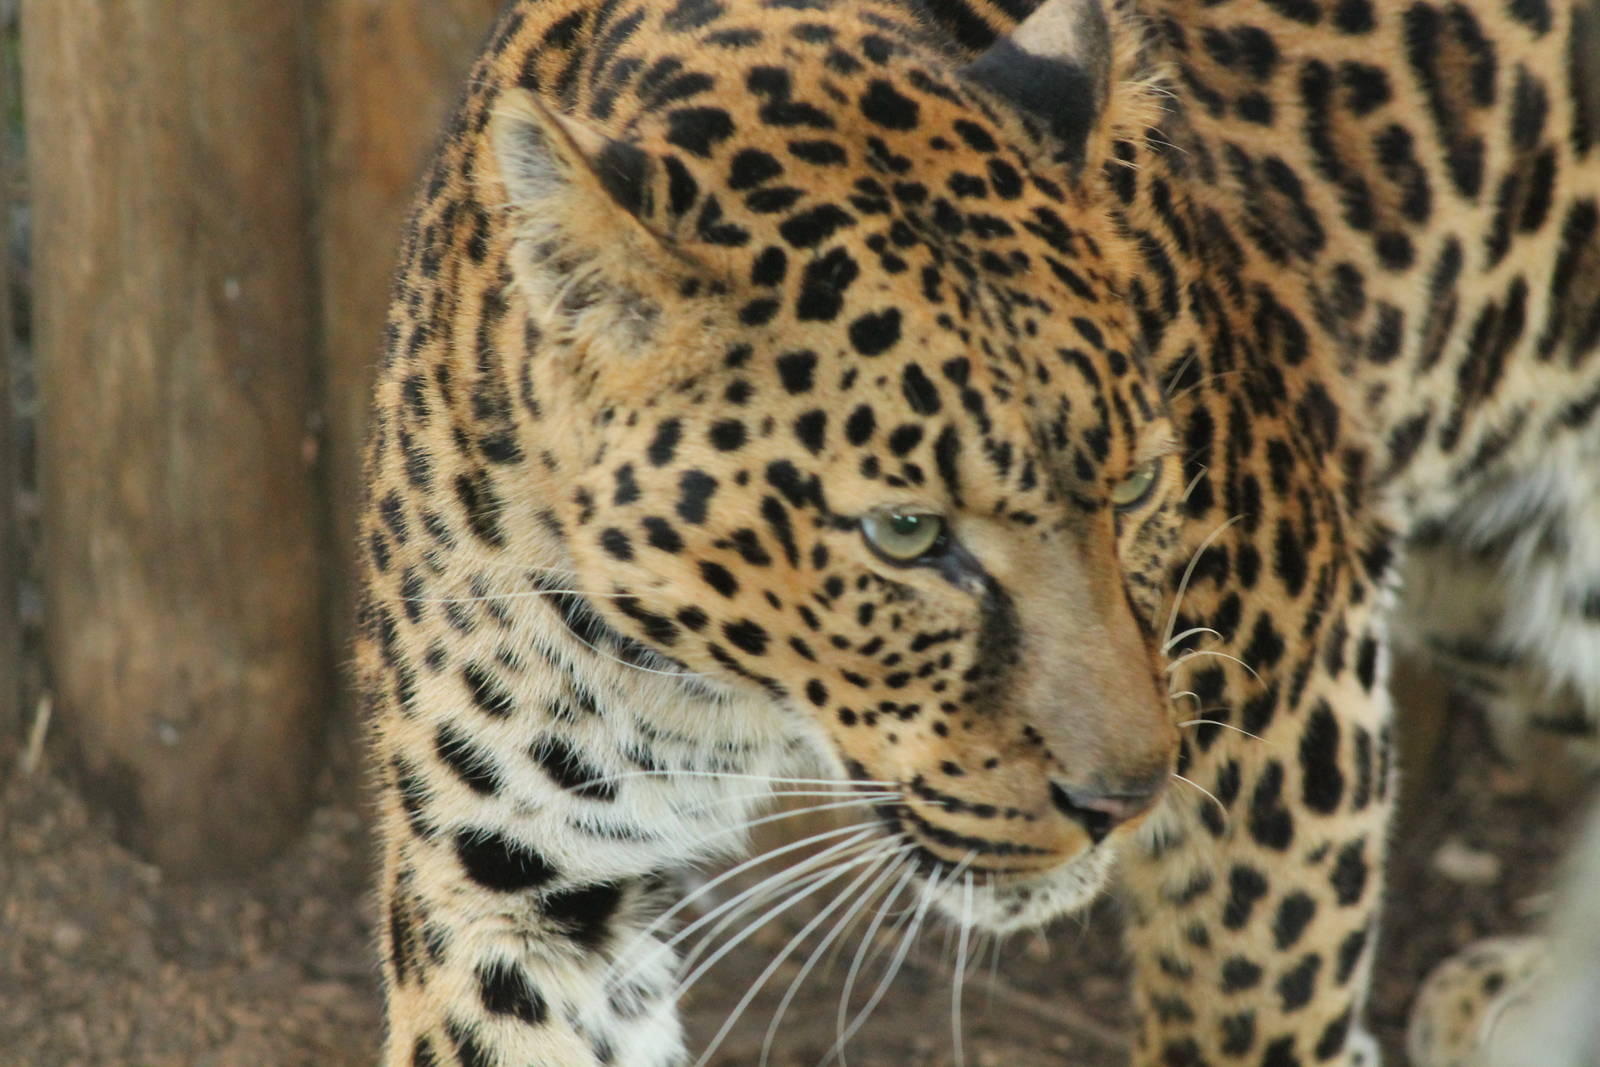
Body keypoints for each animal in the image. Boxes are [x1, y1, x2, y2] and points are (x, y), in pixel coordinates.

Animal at [353, 0, 1600, 1062]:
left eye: (1136, 483)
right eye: (905, 533)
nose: (1121, 800)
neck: (710, 680)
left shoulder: (1288, 696)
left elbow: (1249, 1009)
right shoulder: (512, 888)